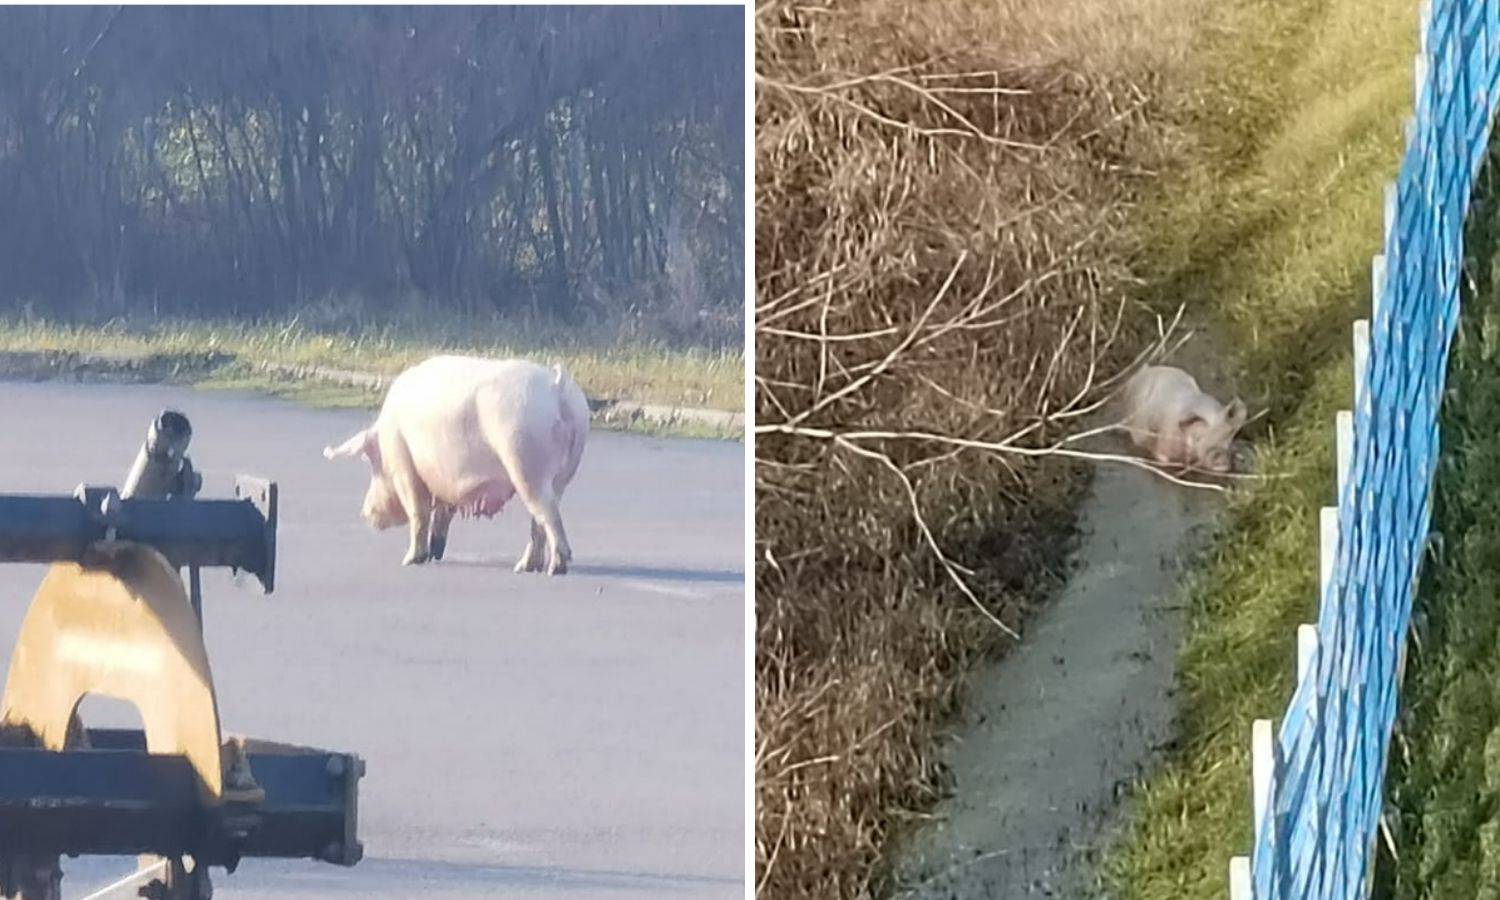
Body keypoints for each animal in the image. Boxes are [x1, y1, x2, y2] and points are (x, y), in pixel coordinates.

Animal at [325, 355, 588, 573]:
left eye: (371, 462)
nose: (365, 512)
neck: (384, 435)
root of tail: (556, 386)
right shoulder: (445, 477)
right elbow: (442, 512)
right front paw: (434, 553)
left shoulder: (404, 464)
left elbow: (418, 511)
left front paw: (410, 560)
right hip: (564, 470)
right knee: (541, 518)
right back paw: (524, 567)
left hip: (524, 456)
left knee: (547, 513)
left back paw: (555, 568)